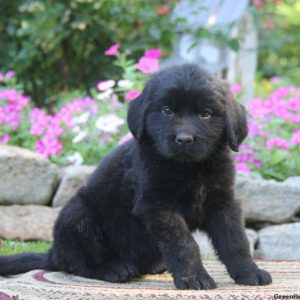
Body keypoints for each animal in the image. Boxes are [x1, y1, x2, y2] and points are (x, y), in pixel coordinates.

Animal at [0, 64, 272, 290]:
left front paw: (249, 272)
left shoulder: (223, 202)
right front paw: (194, 277)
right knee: (77, 265)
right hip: (78, 217)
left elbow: (235, 240)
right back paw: (114, 269)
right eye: (167, 110)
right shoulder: (157, 206)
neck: (189, 168)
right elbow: (184, 243)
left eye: (205, 114)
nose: (184, 139)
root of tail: (53, 252)